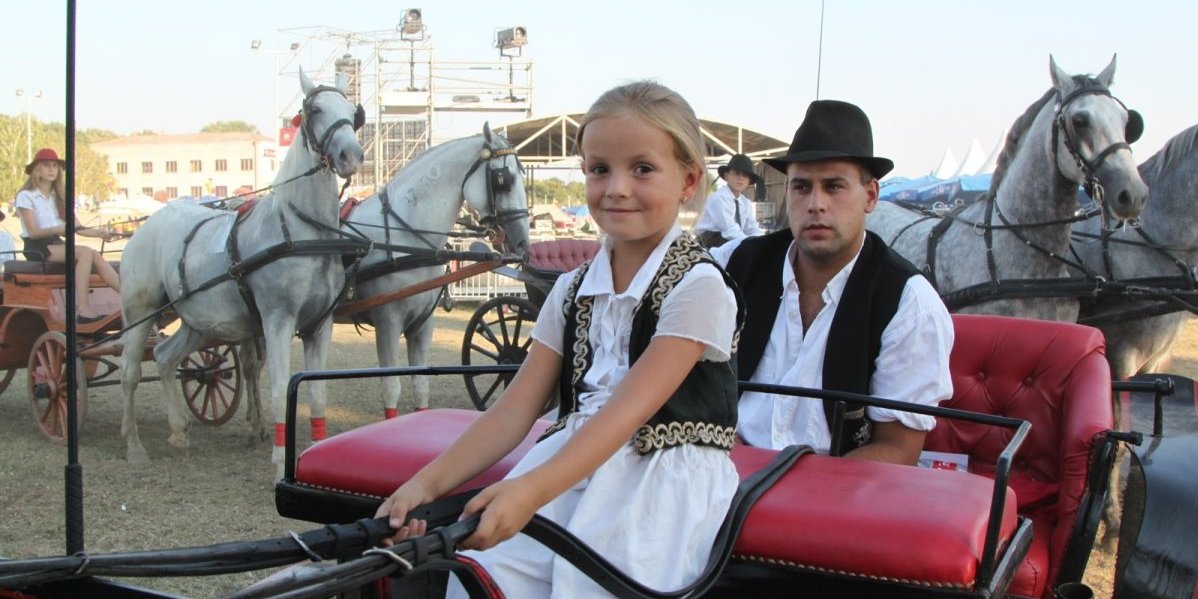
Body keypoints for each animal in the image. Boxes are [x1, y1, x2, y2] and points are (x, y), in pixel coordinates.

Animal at [122, 68, 366, 476]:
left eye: (353, 113)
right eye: (315, 109)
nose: (351, 155)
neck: (303, 233)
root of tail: (147, 223)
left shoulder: (320, 325)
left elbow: (317, 392)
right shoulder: (277, 321)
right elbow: (281, 388)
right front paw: (279, 461)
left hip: (198, 321)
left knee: (166, 357)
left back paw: (179, 430)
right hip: (140, 312)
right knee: (131, 371)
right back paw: (135, 445)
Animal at [335, 125, 527, 416]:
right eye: (504, 180)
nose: (524, 241)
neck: (405, 234)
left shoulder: (423, 324)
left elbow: (421, 385)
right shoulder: (387, 322)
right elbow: (391, 389)